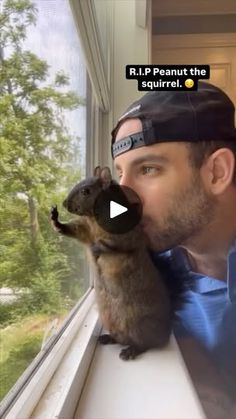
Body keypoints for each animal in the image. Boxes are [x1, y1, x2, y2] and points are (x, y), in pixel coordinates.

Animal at [50, 166, 171, 360]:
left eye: (86, 191)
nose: (64, 203)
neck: (94, 218)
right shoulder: (85, 229)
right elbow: (75, 230)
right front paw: (55, 219)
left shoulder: (124, 232)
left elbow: (114, 244)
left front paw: (96, 248)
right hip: (112, 322)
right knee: (121, 338)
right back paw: (108, 338)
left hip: (140, 326)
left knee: (146, 344)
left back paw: (131, 350)